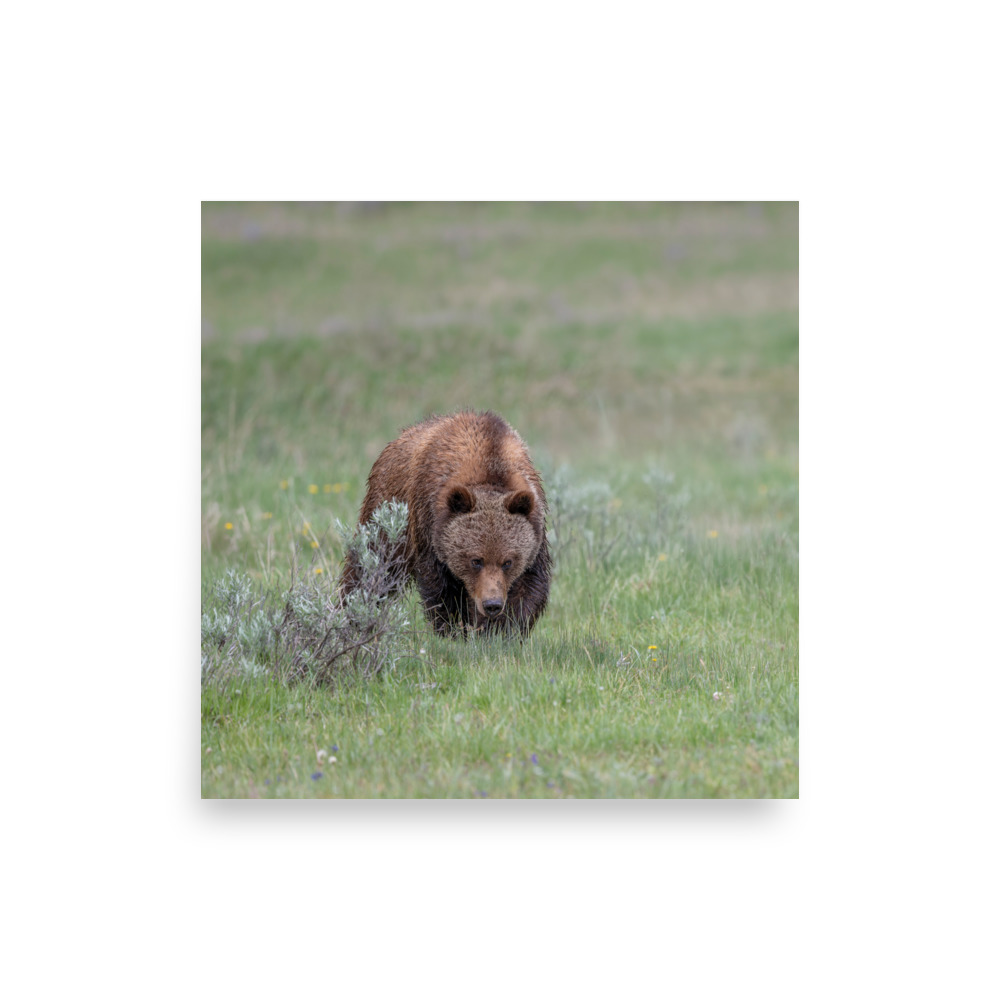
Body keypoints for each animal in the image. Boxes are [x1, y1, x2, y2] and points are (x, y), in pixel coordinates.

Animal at [339, 410, 550, 637]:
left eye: (508, 562)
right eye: (476, 560)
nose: (492, 604)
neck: (491, 466)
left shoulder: (535, 531)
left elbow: (528, 587)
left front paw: (500, 631)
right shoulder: (429, 525)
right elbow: (441, 588)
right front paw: (454, 630)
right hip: (388, 511)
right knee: (372, 565)